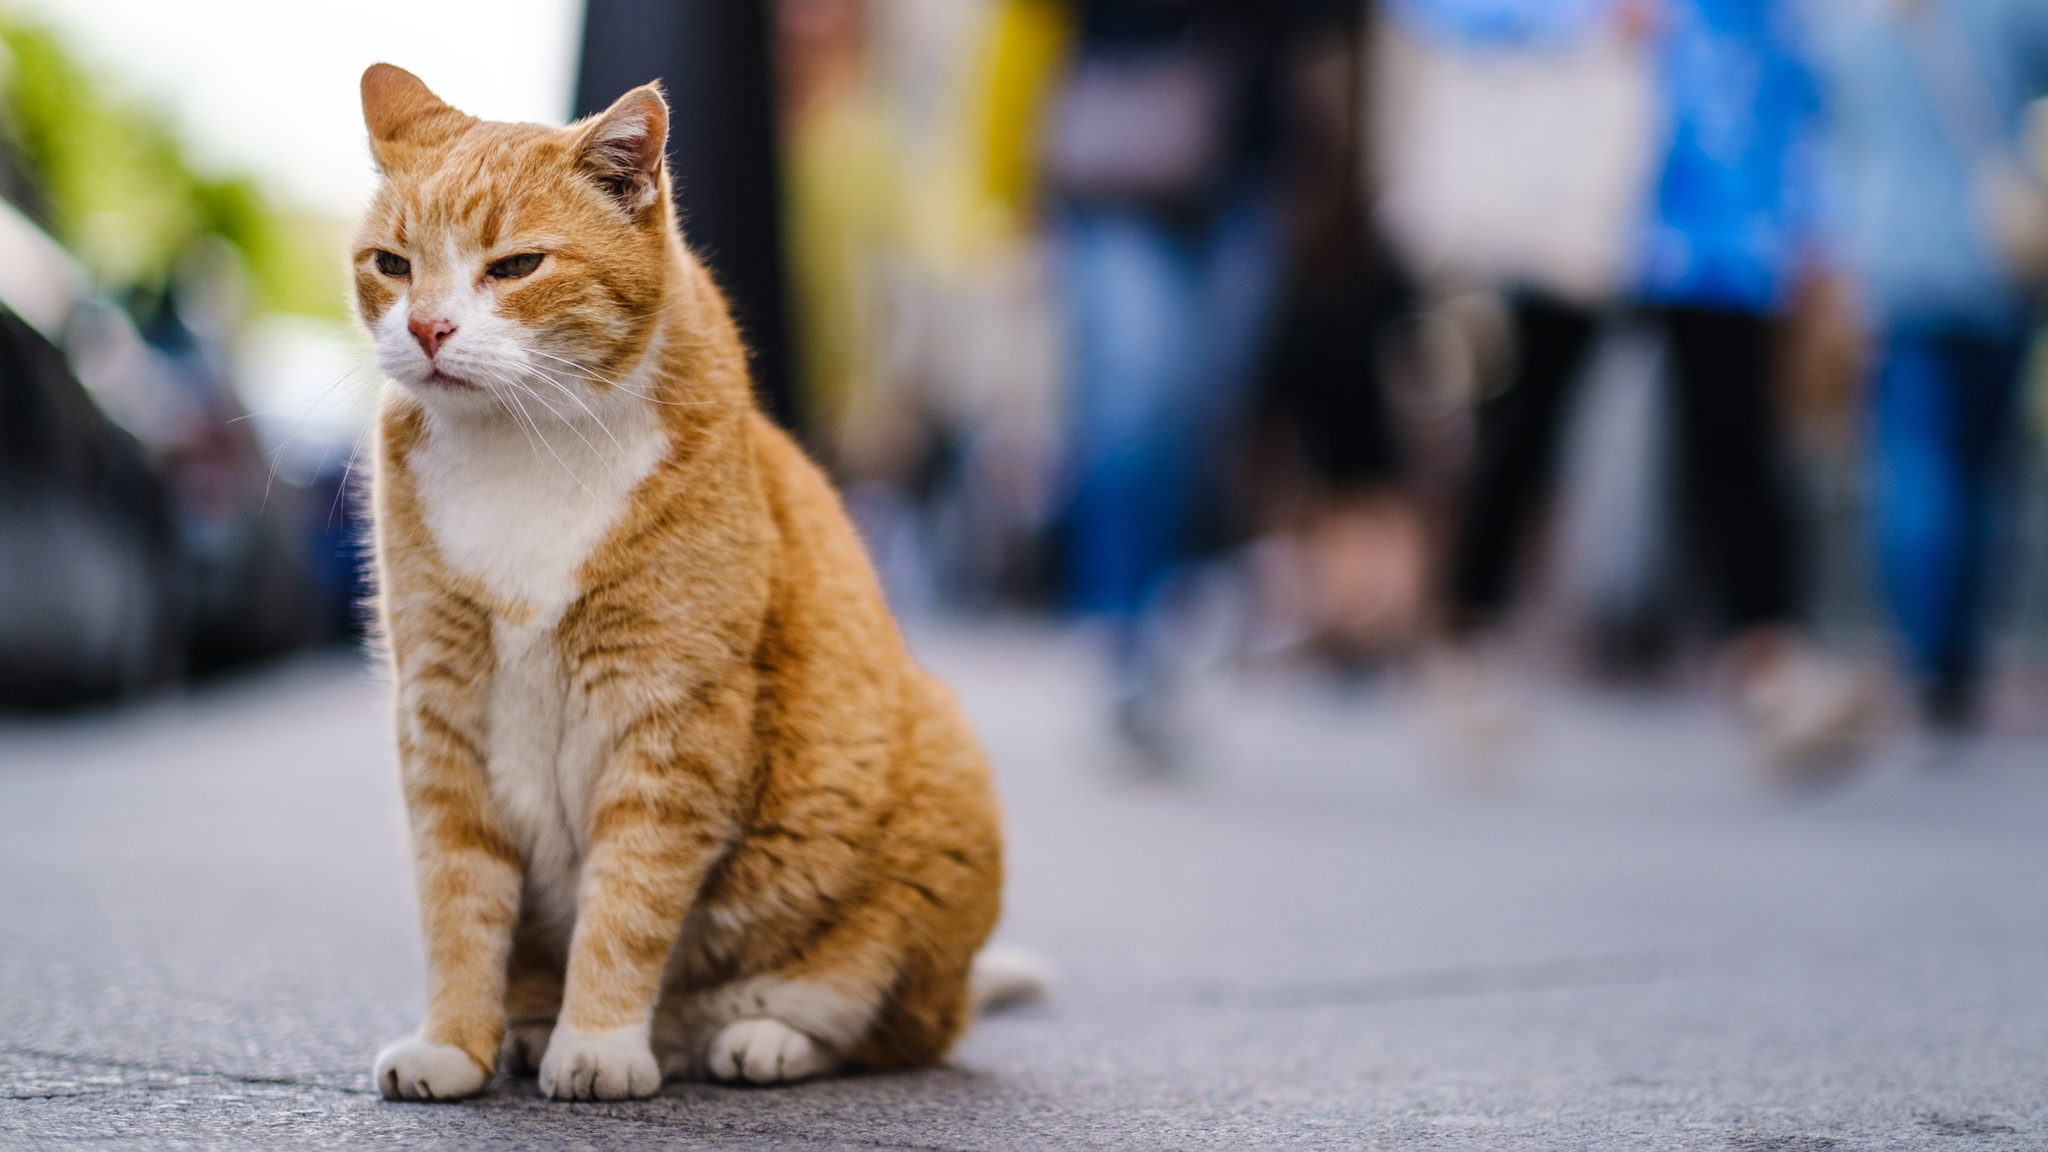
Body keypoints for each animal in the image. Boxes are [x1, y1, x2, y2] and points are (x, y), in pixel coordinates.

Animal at [356, 65, 1024, 1106]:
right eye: (391, 264)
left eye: (515, 267)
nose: (426, 326)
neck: (522, 444)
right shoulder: (441, 711)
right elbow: (457, 901)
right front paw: (456, 1045)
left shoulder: (671, 717)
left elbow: (627, 904)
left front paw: (597, 1043)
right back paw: (535, 1028)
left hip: (933, 815)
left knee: (883, 1027)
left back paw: (758, 1040)